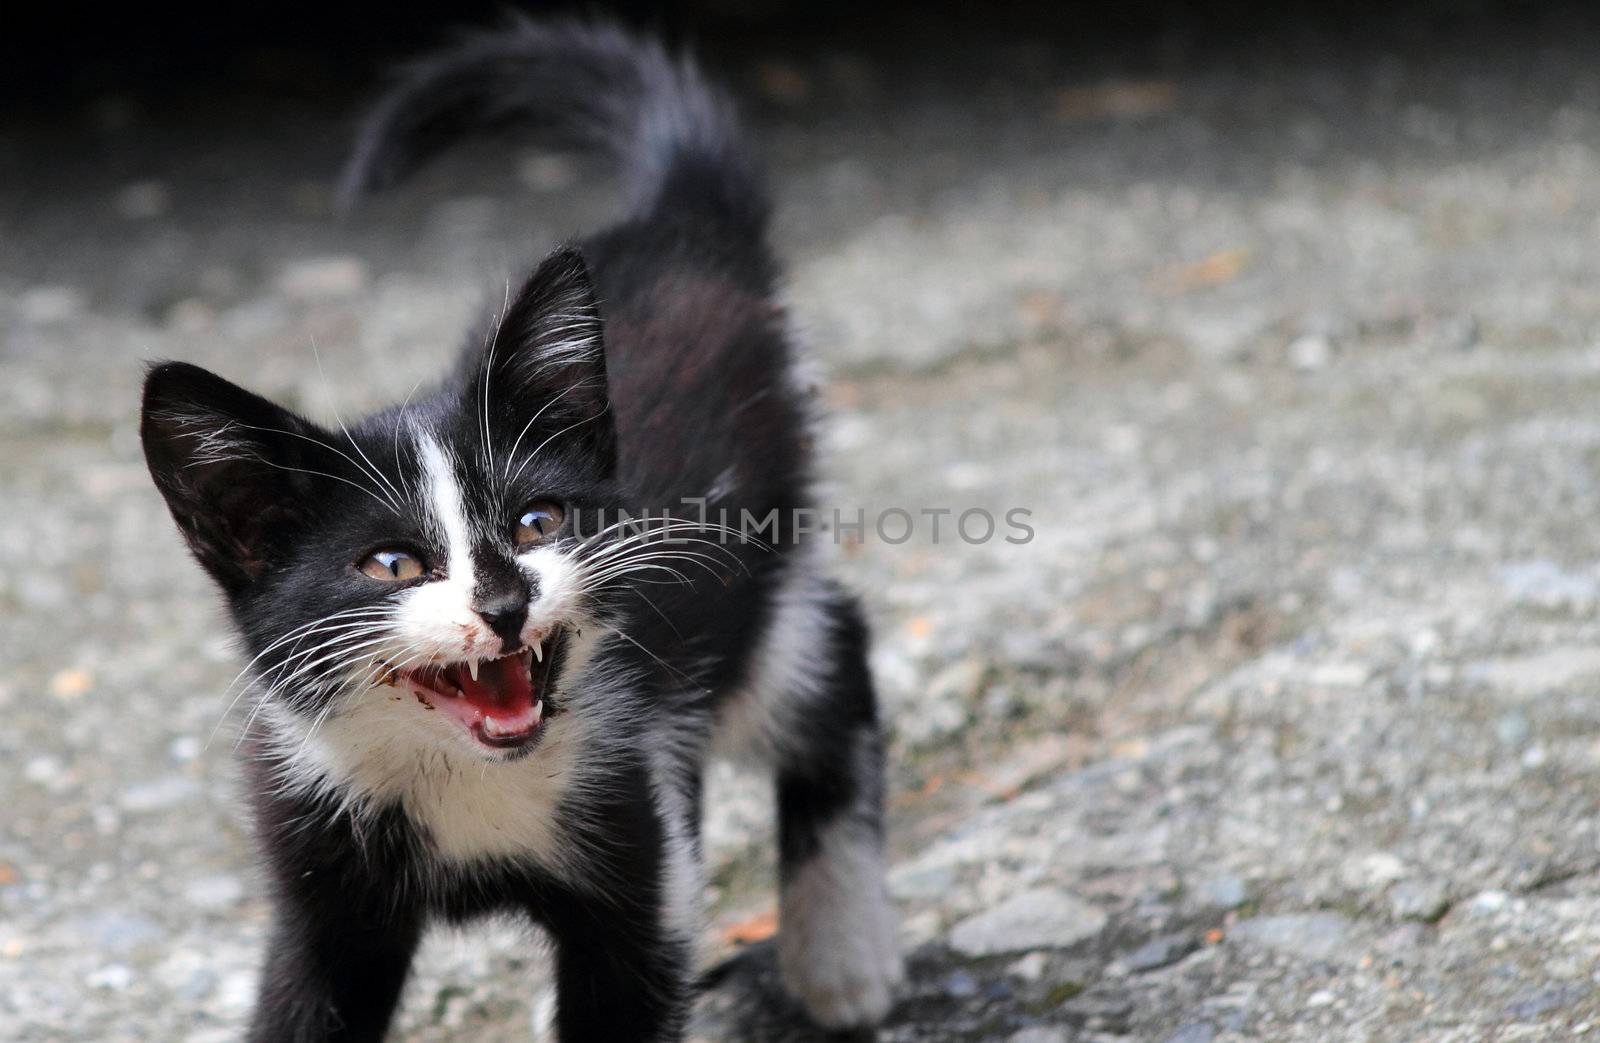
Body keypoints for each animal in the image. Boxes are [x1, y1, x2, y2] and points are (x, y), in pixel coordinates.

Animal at [137, 18, 902, 1043]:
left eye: (537, 521)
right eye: (391, 562)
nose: (504, 601)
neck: (463, 776)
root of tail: (668, 233)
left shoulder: (632, 841)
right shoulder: (319, 868)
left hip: (747, 565)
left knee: (826, 652)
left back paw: (842, 950)